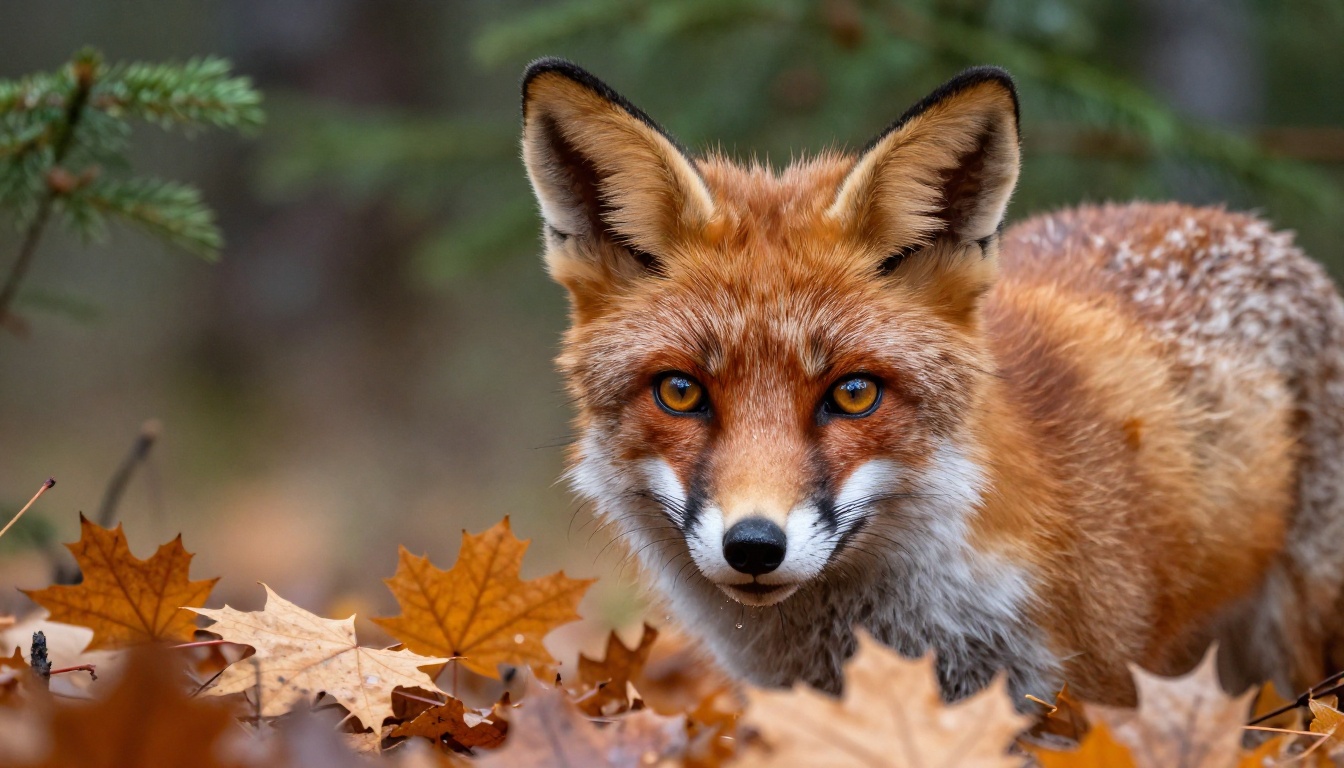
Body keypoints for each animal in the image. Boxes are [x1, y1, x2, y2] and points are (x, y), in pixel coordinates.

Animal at [518, 58, 1344, 707]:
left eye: (854, 394)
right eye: (681, 392)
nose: (754, 546)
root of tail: (1238, 220)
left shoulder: (1087, 692)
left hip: (1296, 641)